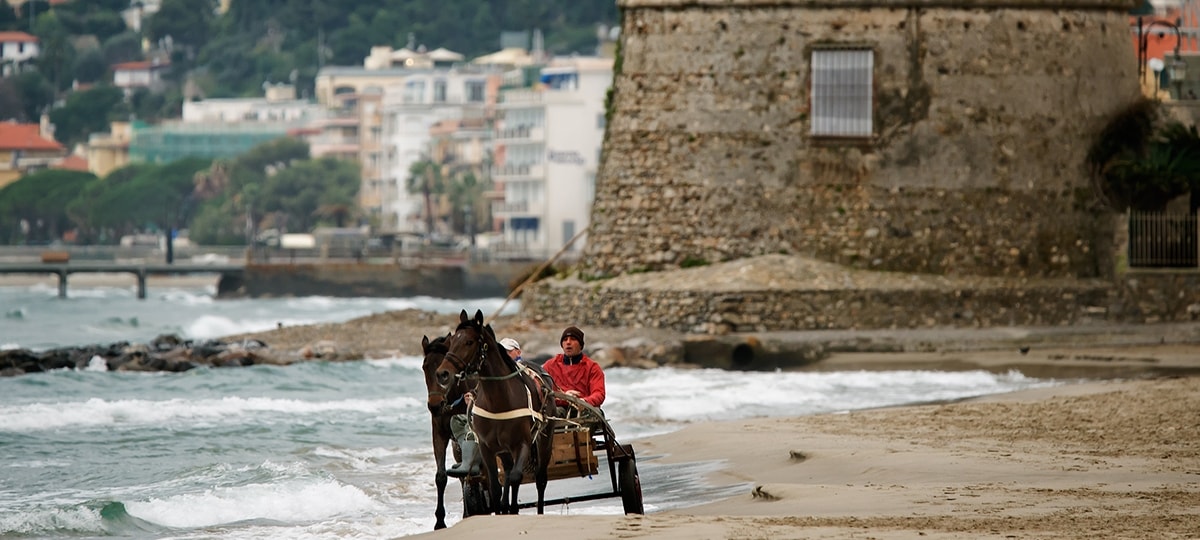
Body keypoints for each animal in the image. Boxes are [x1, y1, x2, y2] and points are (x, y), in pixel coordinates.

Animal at [422, 331, 472, 530]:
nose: (435, 405)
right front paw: (439, 521)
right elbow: (441, 477)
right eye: (424, 367)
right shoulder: (439, 435)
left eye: (444, 372)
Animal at [436, 307, 556, 513]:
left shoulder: (522, 443)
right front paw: (502, 509)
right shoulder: (487, 447)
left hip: (545, 440)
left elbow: (516, 477)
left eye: (469, 342)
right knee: (507, 471)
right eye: (452, 342)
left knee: (540, 479)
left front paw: (513, 509)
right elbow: (495, 487)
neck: (499, 400)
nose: (442, 373)